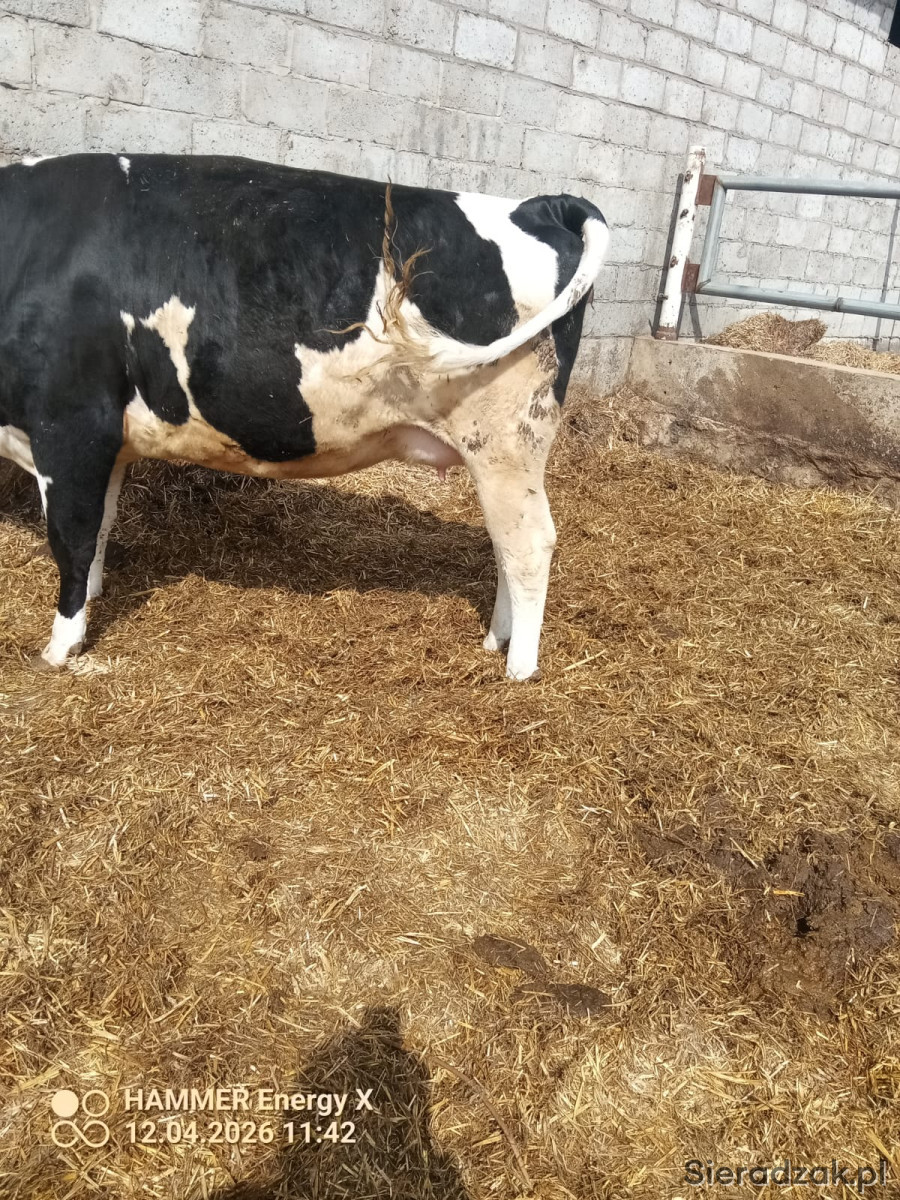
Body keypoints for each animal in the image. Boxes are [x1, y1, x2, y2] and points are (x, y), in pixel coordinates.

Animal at [0, 154, 608, 680]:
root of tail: (539, 205)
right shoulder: (107, 442)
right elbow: (101, 527)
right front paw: (91, 602)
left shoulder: (71, 426)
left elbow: (73, 537)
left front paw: (60, 646)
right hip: (500, 453)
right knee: (506, 541)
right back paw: (495, 640)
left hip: (507, 439)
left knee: (529, 543)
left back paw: (519, 668)